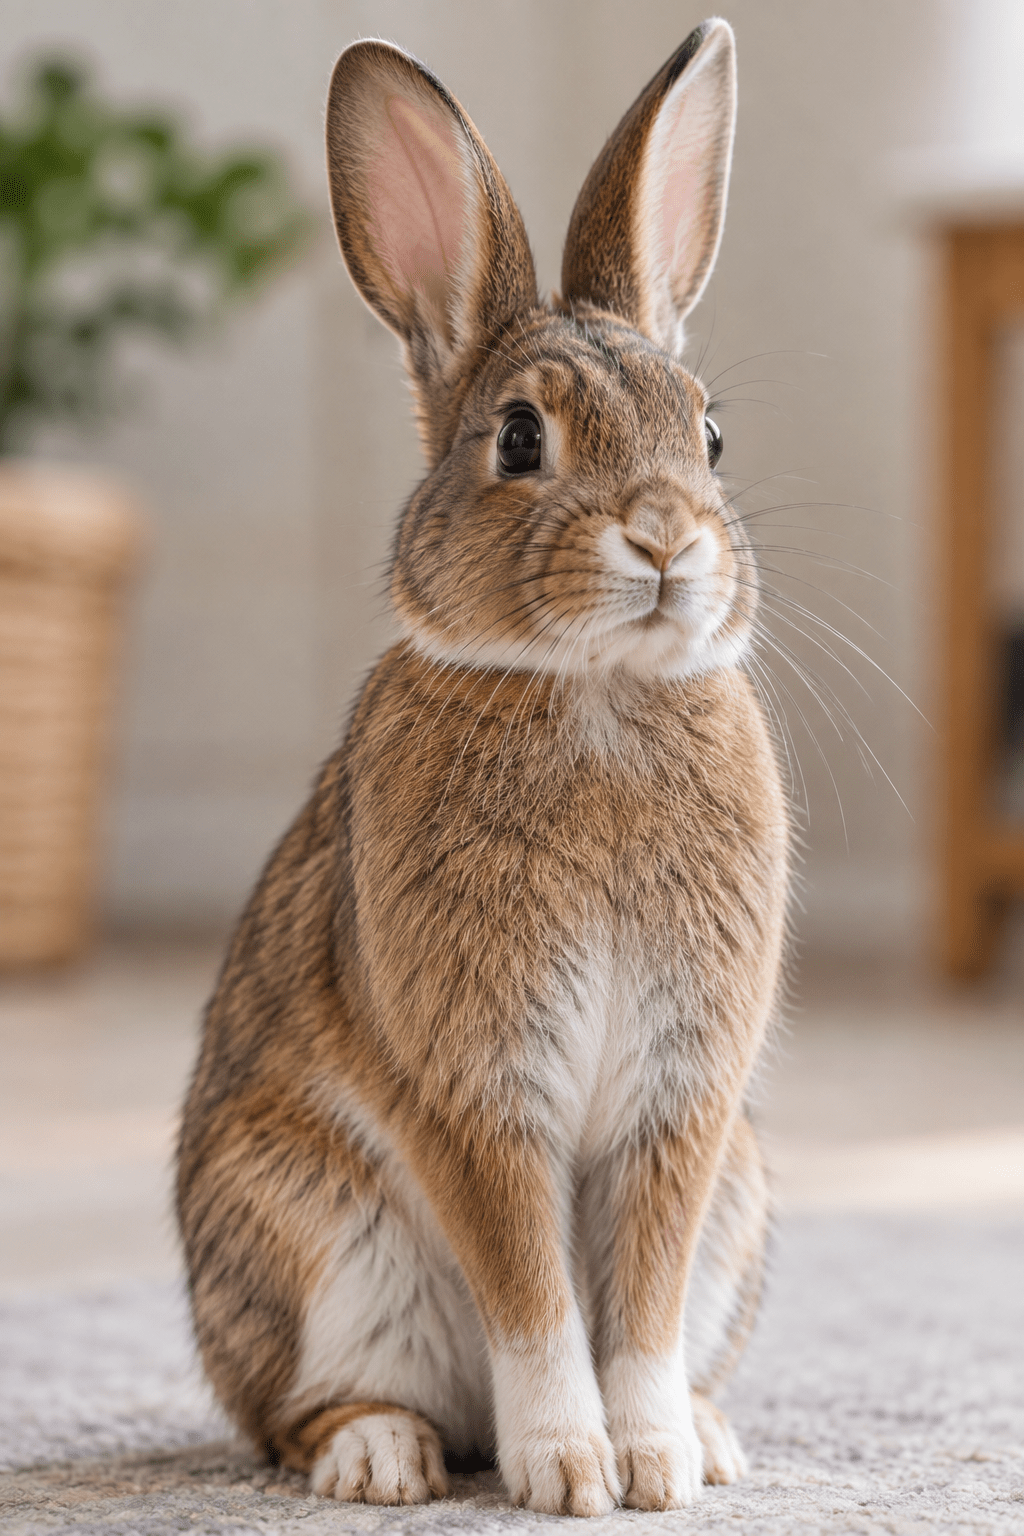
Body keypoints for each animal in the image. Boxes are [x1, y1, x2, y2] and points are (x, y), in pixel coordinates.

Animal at [177, 16, 788, 1518]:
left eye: (710, 433)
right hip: (312, 1227)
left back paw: (711, 1434)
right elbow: (532, 1292)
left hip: (743, 1197)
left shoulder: (682, 1106)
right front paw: (569, 1473)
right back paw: (382, 1458)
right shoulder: (476, 1085)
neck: (597, 693)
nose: (667, 537)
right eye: (519, 436)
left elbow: (637, 1302)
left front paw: (655, 1469)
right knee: (294, 1413)